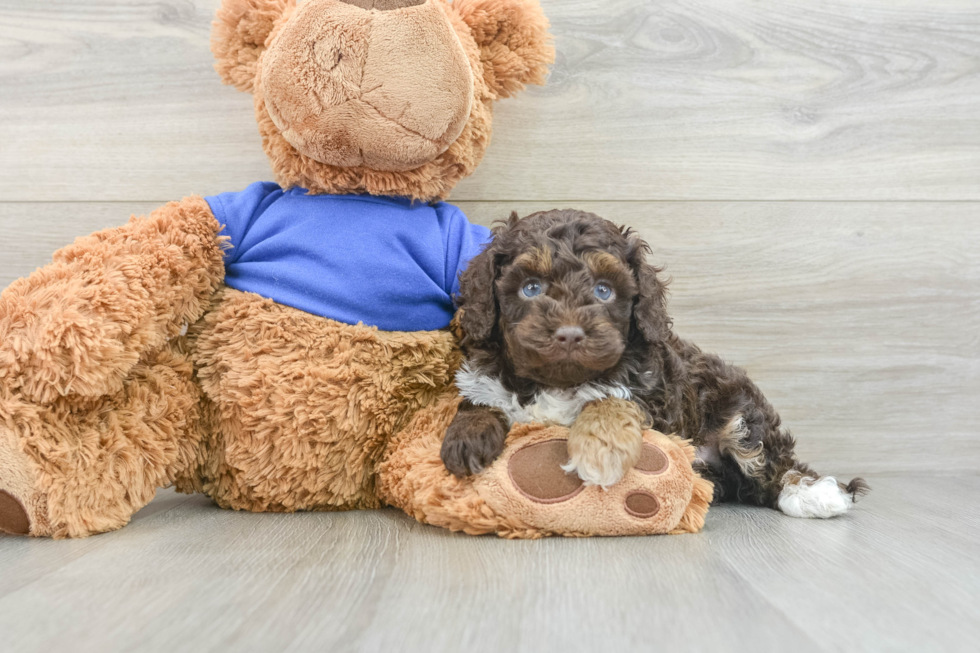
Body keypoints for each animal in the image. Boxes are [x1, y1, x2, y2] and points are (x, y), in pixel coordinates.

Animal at [440, 211, 868, 516]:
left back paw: (815, 494)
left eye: (604, 290)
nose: (570, 334)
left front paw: (600, 453)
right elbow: (480, 400)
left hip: (739, 412)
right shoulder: (486, 377)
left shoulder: (654, 396)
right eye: (531, 288)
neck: (558, 381)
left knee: (772, 463)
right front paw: (466, 438)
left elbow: (609, 401)